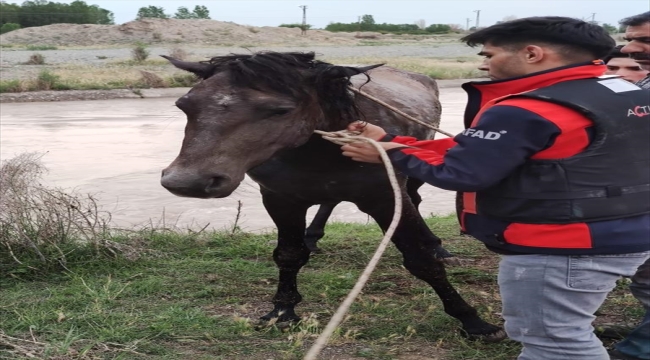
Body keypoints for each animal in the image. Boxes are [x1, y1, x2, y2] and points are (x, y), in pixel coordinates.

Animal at [158, 51, 502, 340]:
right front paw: (282, 310)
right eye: (184, 105)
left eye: (280, 110)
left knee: (414, 201)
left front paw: (472, 320)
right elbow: (289, 255)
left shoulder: (386, 198)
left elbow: (422, 262)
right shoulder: (281, 199)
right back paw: (313, 235)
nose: (187, 181)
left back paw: (436, 245)